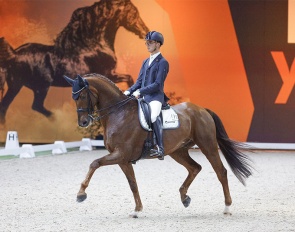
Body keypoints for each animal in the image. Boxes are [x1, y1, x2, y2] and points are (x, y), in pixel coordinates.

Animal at [65, 74, 254, 218]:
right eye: (73, 98)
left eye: (82, 96)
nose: (83, 122)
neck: (118, 114)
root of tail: (202, 110)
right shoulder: (123, 159)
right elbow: (133, 184)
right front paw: (137, 210)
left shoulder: (120, 154)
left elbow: (94, 163)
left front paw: (81, 194)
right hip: (178, 151)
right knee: (195, 168)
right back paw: (184, 197)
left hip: (208, 146)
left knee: (220, 172)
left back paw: (227, 207)